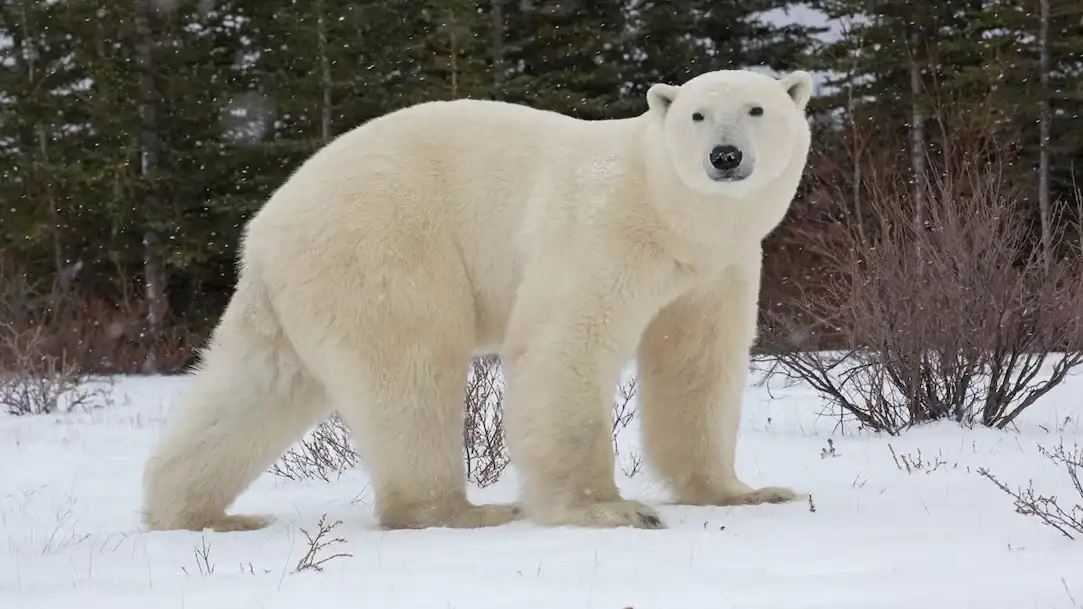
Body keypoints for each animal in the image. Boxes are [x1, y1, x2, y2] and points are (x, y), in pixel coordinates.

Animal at [141, 67, 814, 533]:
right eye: (697, 115)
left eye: (757, 108)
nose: (725, 156)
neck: (669, 215)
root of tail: (262, 229)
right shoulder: (602, 231)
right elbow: (564, 344)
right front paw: (611, 509)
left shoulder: (716, 268)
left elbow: (698, 364)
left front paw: (747, 492)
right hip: (383, 247)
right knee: (412, 370)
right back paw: (461, 511)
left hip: (300, 289)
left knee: (254, 385)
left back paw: (196, 513)